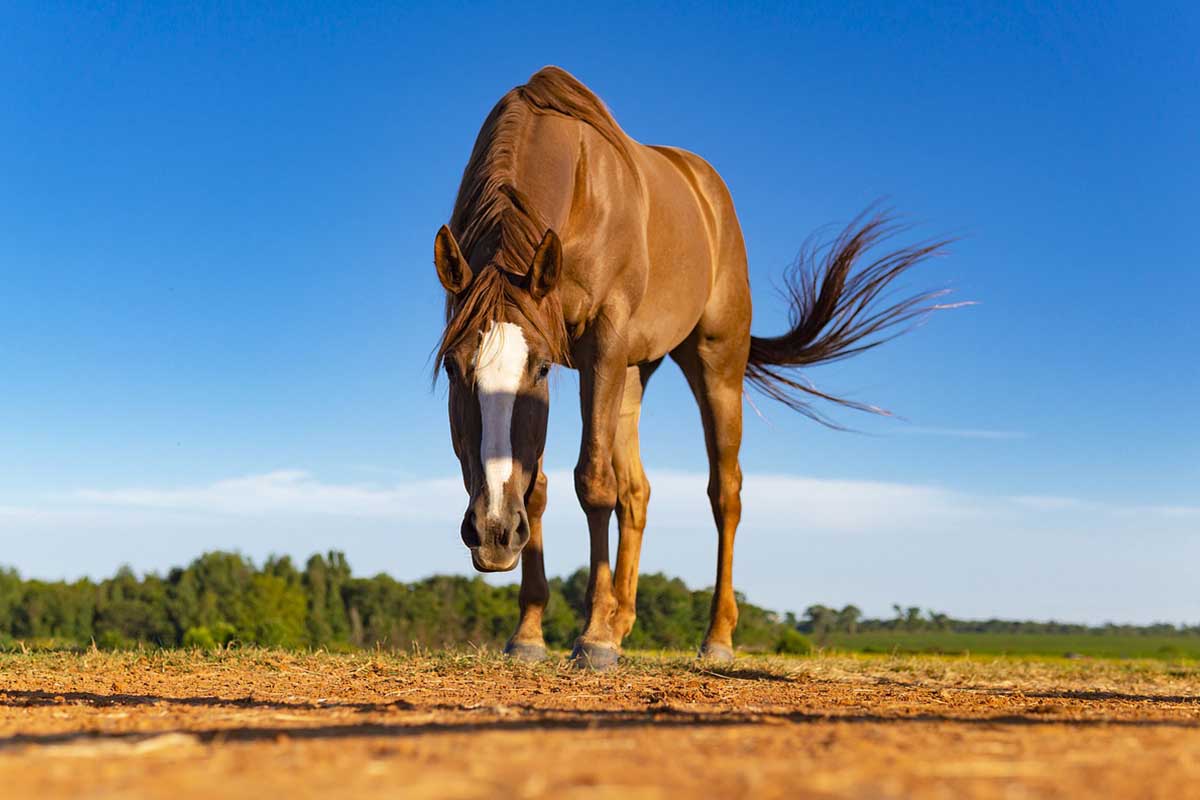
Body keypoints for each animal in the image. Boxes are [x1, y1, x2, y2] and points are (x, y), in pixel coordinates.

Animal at [434, 67, 955, 671]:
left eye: (540, 369)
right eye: (454, 368)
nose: (493, 531)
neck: (578, 185)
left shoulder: (600, 345)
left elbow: (592, 483)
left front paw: (592, 637)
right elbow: (539, 486)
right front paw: (531, 632)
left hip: (714, 363)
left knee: (723, 492)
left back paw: (715, 636)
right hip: (633, 372)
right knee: (637, 492)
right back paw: (622, 622)